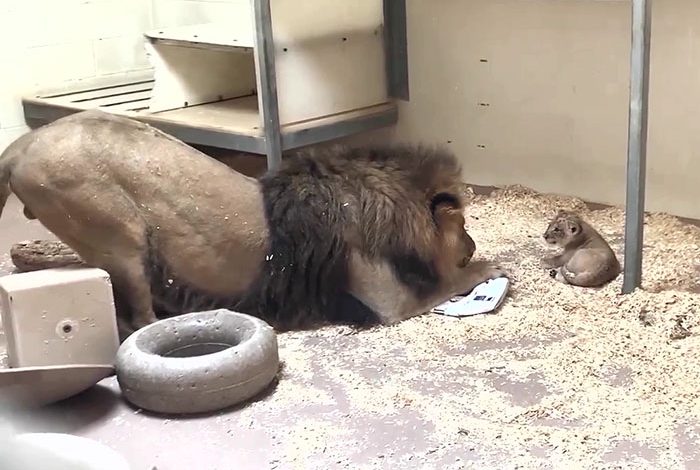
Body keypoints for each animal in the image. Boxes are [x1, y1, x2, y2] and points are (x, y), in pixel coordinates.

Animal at [0, 110, 504, 338]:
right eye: (462, 226)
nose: (473, 245)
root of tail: (21, 146)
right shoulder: (388, 302)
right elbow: (447, 282)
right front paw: (490, 268)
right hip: (118, 234)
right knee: (139, 317)